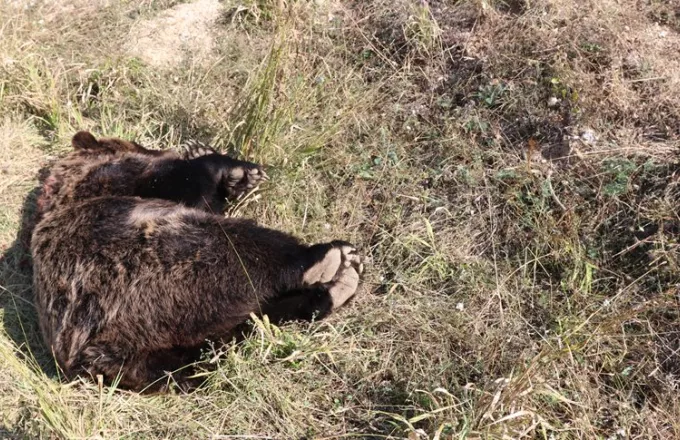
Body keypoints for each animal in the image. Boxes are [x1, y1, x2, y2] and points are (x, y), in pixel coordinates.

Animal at [31, 131, 364, 392]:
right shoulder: (124, 184)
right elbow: (187, 188)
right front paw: (228, 166)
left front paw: (235, 176)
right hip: (152, 268)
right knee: (246, 254)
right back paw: (328, 259)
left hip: (165, 338)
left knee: (230, 334)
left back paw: (334, 289)